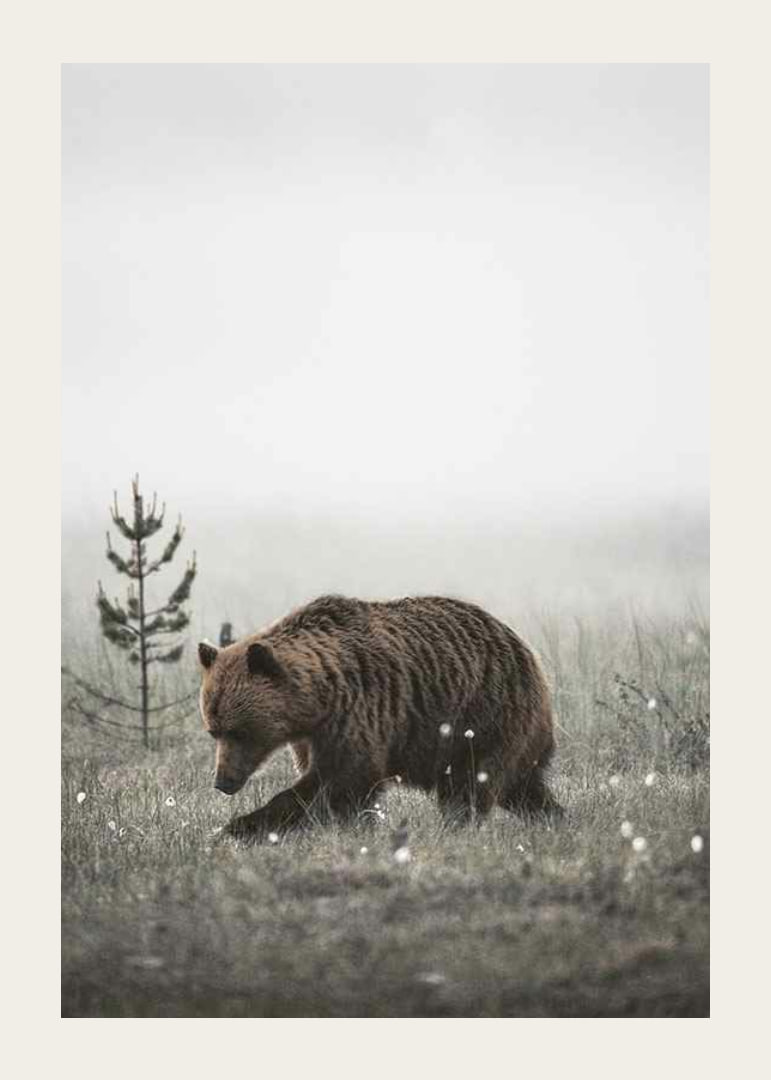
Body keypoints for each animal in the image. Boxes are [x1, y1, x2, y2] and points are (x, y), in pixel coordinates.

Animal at [197, 594, 560, 841]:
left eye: (241, 731)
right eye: (214, 730)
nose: (223, 782)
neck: (316, 702)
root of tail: (528, 652)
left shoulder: (357, 713)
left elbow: (342, 780)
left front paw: (240, 826)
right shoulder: (309, 736)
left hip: (483, 717)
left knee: (471, 783)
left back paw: (456, 828)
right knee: (523, 787)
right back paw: (555, 818)